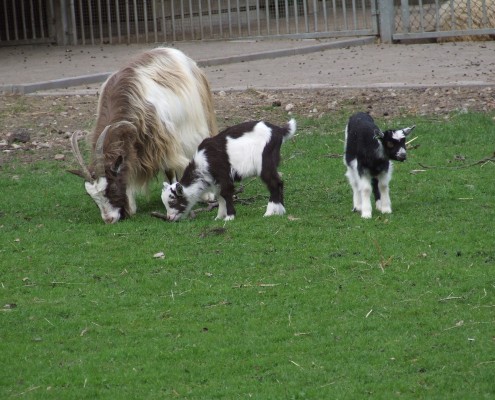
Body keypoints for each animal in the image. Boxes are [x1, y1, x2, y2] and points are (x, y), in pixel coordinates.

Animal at [70, 48, 217, 223]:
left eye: (111, 187)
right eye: (92, 197)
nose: (109, 219)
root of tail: (171, 51)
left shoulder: (163, 141)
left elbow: (170, 167)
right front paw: (131, 206)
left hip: (195, 121)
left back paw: (207, 194)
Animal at [161, 119, 296, 222]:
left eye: (173, 201)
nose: (169, 217)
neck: (203, 162)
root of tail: (279, 131)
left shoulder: (224, 174)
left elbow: (226, 193)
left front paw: (230, 217)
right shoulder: (216, 182)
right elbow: (220, 196)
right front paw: (219, 217)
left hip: (264, 162)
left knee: (274, 183)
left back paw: (269, 212)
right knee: (279, 182)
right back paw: (280, 210)